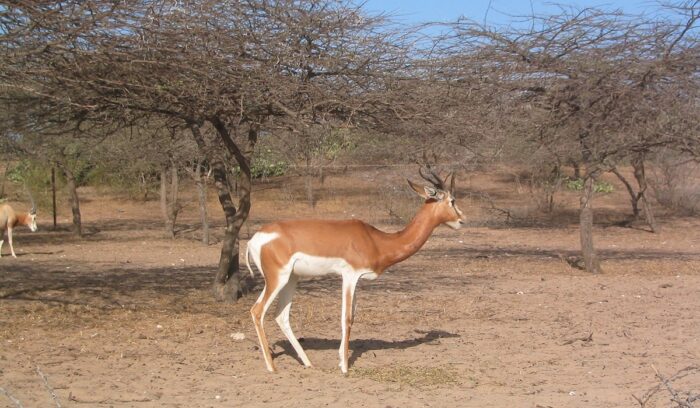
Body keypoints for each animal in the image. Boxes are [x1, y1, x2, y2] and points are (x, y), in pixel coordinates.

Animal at [246, 167, 465, 373]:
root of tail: (253, 239)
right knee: (257, 311)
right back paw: (272, 367)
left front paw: (340, 360)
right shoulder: (349, 276)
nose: (462, 220)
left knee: (281, 316)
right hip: (277, 278)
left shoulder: (357, 280)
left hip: (292, 279)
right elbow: (347, 318)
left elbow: (353, 315)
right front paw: (344, 367)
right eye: (452, 200)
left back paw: (308, 363)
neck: (377, 241)